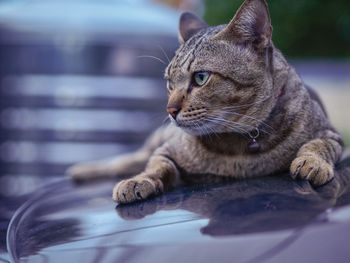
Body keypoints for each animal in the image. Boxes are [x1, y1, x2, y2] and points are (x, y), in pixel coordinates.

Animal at [67, 0, 344, 204]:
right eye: (169, 82)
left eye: (201, 77)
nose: (170, 109)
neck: (239, 148)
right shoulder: (166, 151)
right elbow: (155, 166)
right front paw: (138, 181)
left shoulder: (331, 133)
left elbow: (318, 145)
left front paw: (312, 162)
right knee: (127, 159)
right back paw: (84, 170)